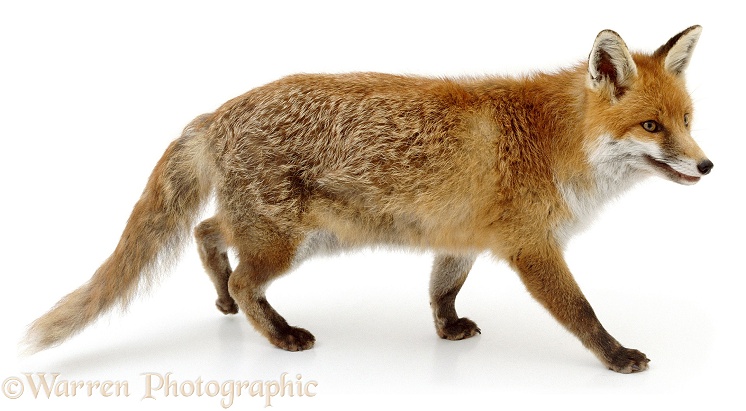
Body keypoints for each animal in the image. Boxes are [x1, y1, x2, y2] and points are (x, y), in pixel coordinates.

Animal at [24, 25, 708, 374]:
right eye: (652, 127)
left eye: (687, 120)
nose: (707, 165)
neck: (551, 143)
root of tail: (218, 112)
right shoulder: (531, 247)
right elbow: (582, 312)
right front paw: (616, 355)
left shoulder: (460, 237)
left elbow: (441, 289)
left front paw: (447, 329)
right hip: (286, 241)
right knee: (244, 274)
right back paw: (277, 333)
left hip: (279, 230)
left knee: (207, 233)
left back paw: (221, 296)